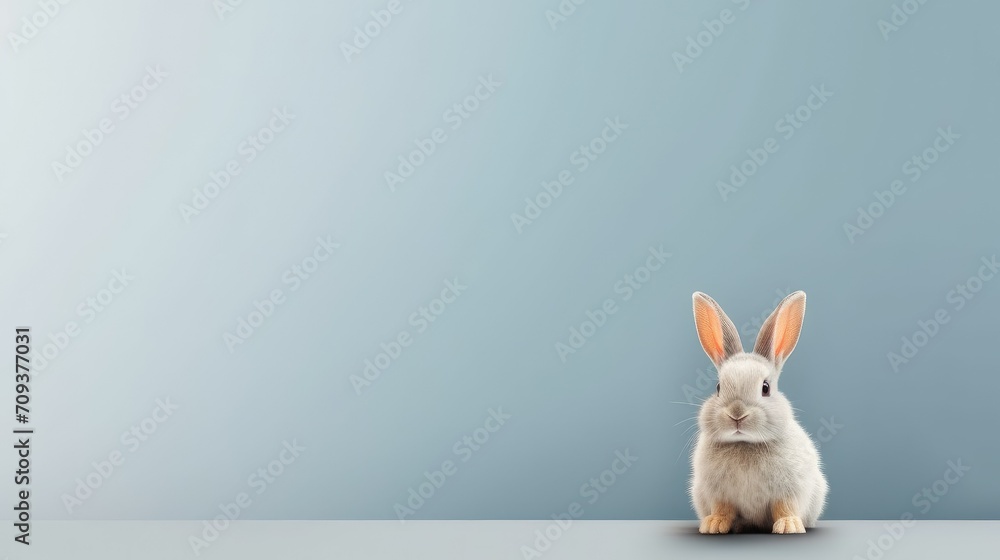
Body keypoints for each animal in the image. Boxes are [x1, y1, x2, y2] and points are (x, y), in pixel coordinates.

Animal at [688, 291, 827, 534]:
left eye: (765, 388)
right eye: (718, 387)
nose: (737, 414)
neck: (745, 443)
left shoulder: (789, 489)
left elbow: (784, 507)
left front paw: (788, 526)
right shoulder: (718, 493)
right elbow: (723, 508)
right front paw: (714, 524)